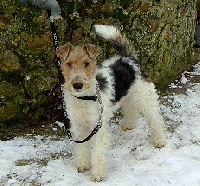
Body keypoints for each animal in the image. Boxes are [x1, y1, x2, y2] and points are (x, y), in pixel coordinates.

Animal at [55, 24, 166, 182]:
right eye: (69, 64)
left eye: (87, 63)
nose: (77, 85)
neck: (84, 98)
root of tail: (128, 59)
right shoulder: (79, 127)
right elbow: (82, 149)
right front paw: (83, 166)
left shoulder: (98, 129)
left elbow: (97, 153)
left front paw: (97, 175)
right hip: (127, 96)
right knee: (131, 110)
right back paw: (128, 125)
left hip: (145, 98)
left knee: (155, 119)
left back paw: (159, 141)